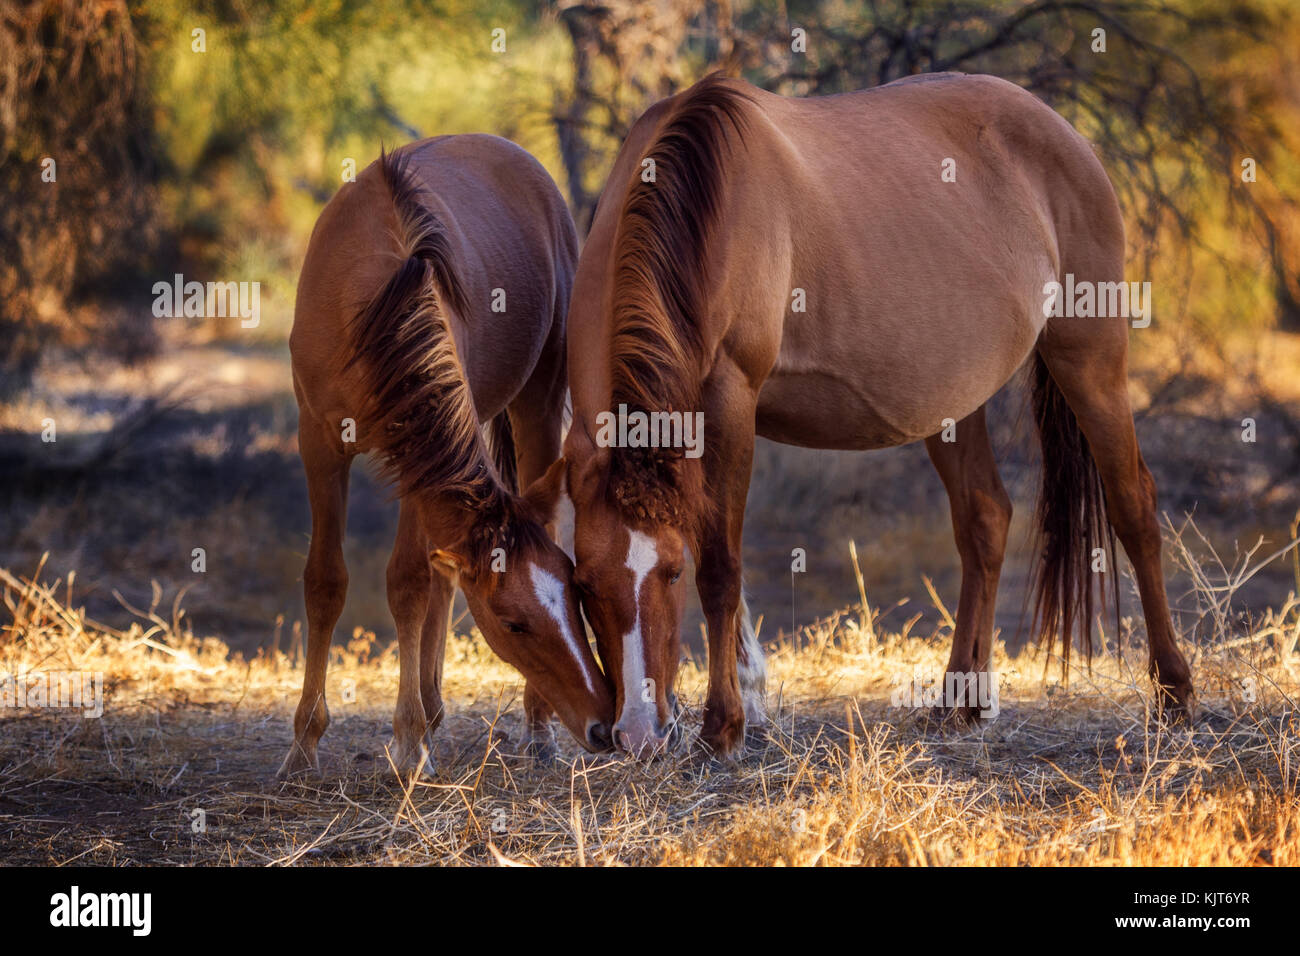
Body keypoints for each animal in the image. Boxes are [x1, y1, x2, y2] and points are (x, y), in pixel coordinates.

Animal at [278, 138, 615, 778]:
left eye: (576, 597)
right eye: (514, 622)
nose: (603, 723)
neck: (370, 303)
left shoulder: (419, 463)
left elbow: (409, 582)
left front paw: (409, 741)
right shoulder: (318, 443)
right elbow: (324, 581)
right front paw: (304, 744)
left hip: (536, 403)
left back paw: (529, 727)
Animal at [560, 72, 1195, 760]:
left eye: (672, 574)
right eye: (586, 586)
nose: (636, 734)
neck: (705, 205)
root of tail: (1068, 135)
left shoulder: (731, 398)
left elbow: (722, 569)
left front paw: (723, 725)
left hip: (1089, 356)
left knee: (1133, 505)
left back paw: (1174, 692)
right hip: (953, 401)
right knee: (986, 520)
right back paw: (961, 702)